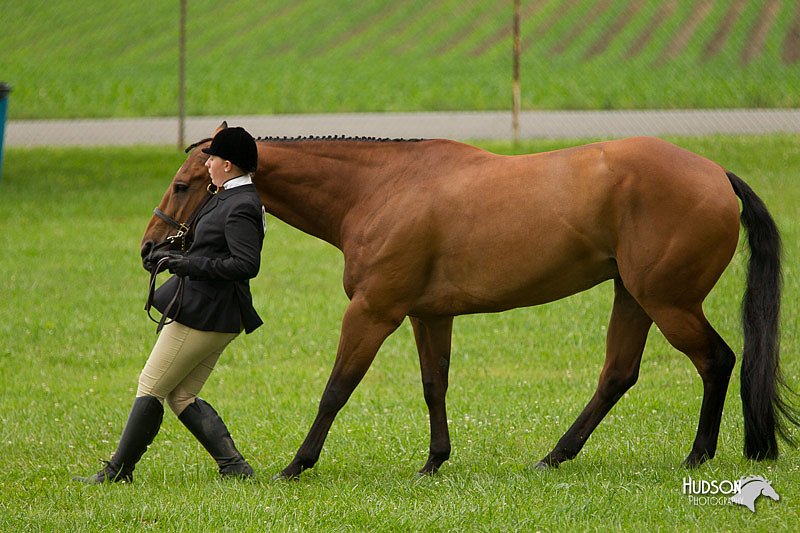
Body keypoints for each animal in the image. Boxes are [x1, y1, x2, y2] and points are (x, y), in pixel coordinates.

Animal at [141, 123, 796, 478]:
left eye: (182, 184)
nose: (152, 249)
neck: (383, 189)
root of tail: (716, 173)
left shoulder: (373, 312)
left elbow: (337, 387)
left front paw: (298, 464)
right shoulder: (429, 314)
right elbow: (435, 385)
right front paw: (435, 460)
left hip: (668, 303)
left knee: (716, 361)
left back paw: (698, 457)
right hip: (634, 297)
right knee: (617, 374)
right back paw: (554, 456)